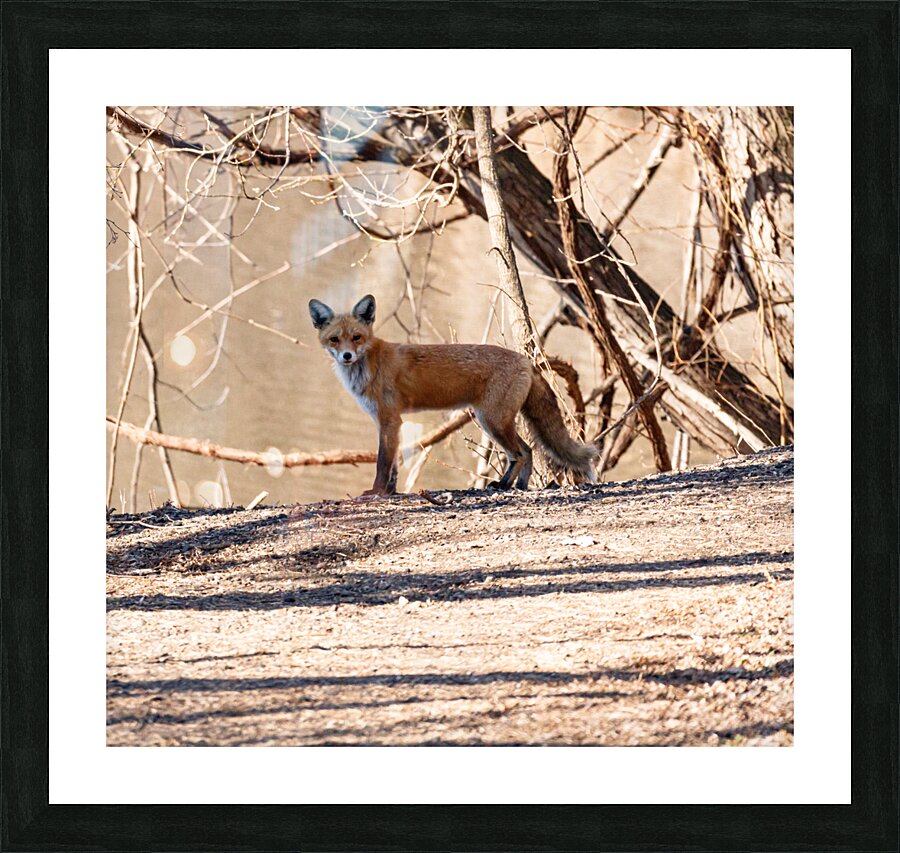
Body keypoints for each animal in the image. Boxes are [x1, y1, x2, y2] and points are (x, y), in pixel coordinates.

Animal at [309, 294, 598, 496]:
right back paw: (515, 486)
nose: (347, 356)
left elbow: (383, 463)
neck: (370, 365)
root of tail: (526, 360)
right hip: (498, 421)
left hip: (492, 421)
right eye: (335, 340)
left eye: (356, 337)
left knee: (521, 453)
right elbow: (394, 466)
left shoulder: (389, 419)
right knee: (526, 451)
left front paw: (376, 493)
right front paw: (390, 492)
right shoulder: (389, 422)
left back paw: (507, 485)